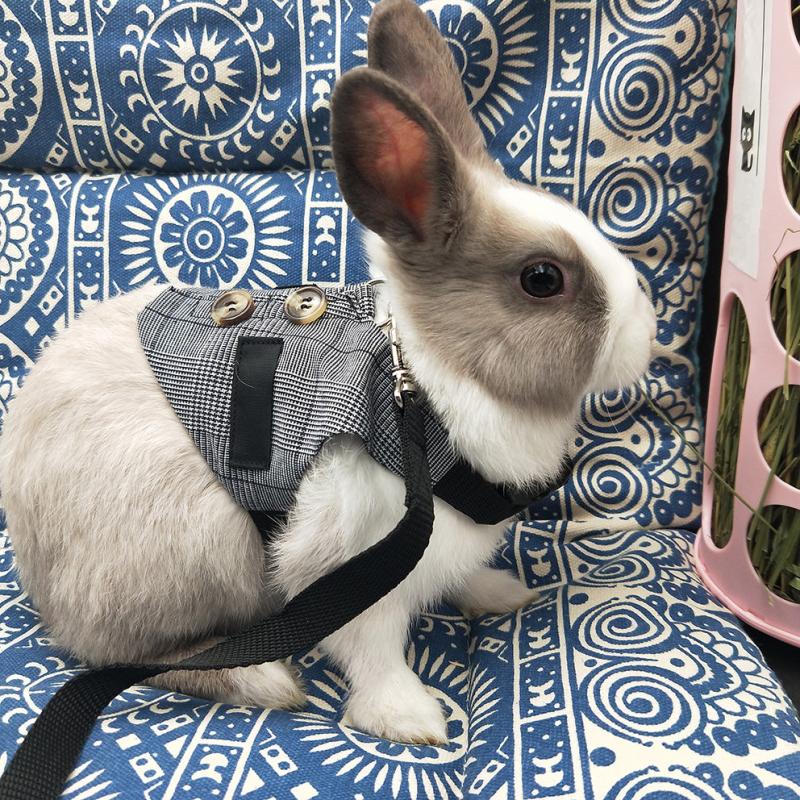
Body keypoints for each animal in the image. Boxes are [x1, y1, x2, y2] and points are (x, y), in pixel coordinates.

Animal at [0, 0, 656, 745]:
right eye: (542, 279)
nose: (647, 331)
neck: (420, 388)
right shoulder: (351, 565)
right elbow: (373, 651)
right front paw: (410, 718)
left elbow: (460, 579)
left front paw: (498, 594)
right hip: (198, 553)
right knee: (119, 654)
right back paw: (263, 679)